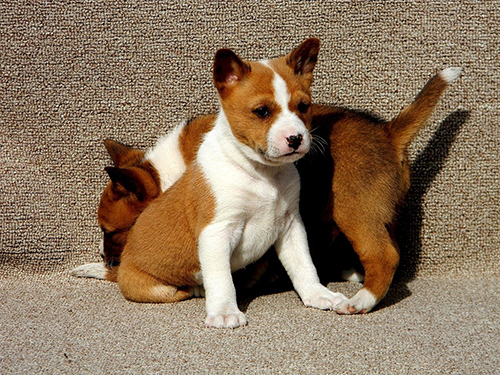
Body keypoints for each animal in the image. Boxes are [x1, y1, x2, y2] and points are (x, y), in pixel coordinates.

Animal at [115, 37, 348, 328]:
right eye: (262, 111)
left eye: (304, 107)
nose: (295, 138)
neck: (262, 173)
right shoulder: (216, 232)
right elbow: (222, 279)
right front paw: (225, 311)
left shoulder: (291, 225)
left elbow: (304, 265)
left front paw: (318, 294)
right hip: (158, 289)